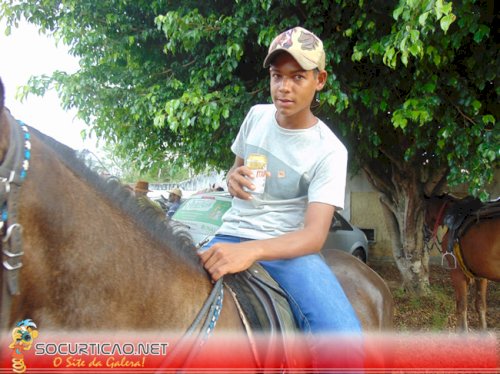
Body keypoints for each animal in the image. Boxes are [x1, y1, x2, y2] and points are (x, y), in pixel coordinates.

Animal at [426, 194, 500, 332]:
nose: (425, 233)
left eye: (425, 212)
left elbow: (461, 307)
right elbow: (480, 306)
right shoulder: (480, 275)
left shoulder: (457, 273)